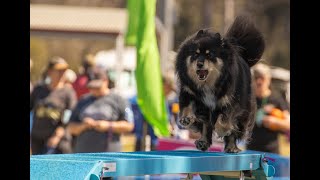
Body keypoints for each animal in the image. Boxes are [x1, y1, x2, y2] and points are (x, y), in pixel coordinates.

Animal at [175, 16, 264, 153]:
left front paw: (222, 130)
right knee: (206, 124)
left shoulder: (230, 103)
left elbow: (224, 120)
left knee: (234, 130)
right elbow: (187, 107)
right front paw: (186, 119)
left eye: (209, 55)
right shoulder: (190, 92)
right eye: (195, 54)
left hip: (243, 111)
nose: (199, 64)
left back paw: (231, 147)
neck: (208, 85)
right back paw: (203, 142)